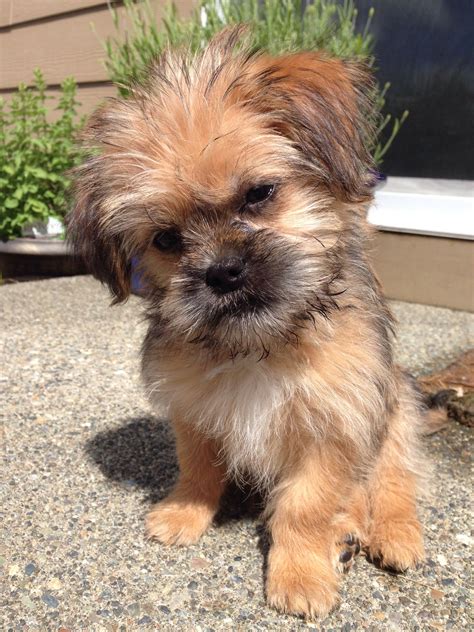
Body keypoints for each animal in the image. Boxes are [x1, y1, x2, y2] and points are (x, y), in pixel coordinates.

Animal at [68, 28, 428, 616]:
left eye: (259, 194)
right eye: (166, 239)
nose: (223, 271)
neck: (262, 344)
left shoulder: (335, 427)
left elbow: (306, 506)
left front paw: (300, 574)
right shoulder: (193, 411)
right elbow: (197, 468)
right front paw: (184, 513)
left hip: (396, 411)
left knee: (393, 482)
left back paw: (391, 534)